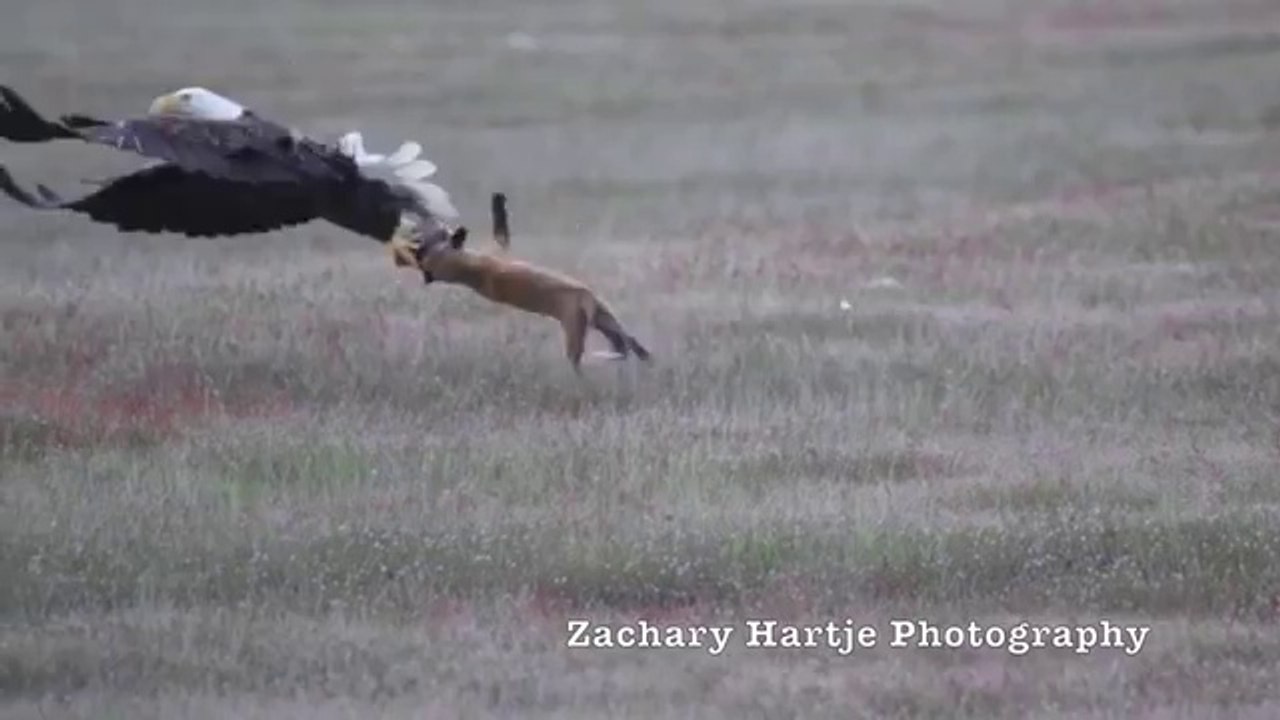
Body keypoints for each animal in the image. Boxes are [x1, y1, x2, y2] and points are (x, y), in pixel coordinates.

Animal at [415, 192, 651, 373]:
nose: (418, 251)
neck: (476, 270)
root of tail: (587, 299)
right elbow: (500, 234)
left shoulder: (496, 252)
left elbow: (500, 232)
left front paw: (497, 204)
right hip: (589, 325)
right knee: (618, 347)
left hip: (600, 320)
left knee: (627, 344)